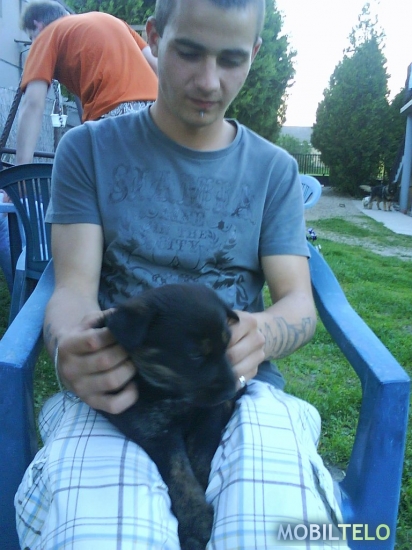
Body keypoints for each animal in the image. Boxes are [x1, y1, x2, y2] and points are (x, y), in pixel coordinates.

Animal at [100, 284, 242, 550]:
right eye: (195, 355)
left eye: (228, 345)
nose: (233, 390)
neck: (170, 391)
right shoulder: (155, 432)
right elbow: (180, 474)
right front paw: (196, 521)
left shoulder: (209, 415)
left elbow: (200, 457)